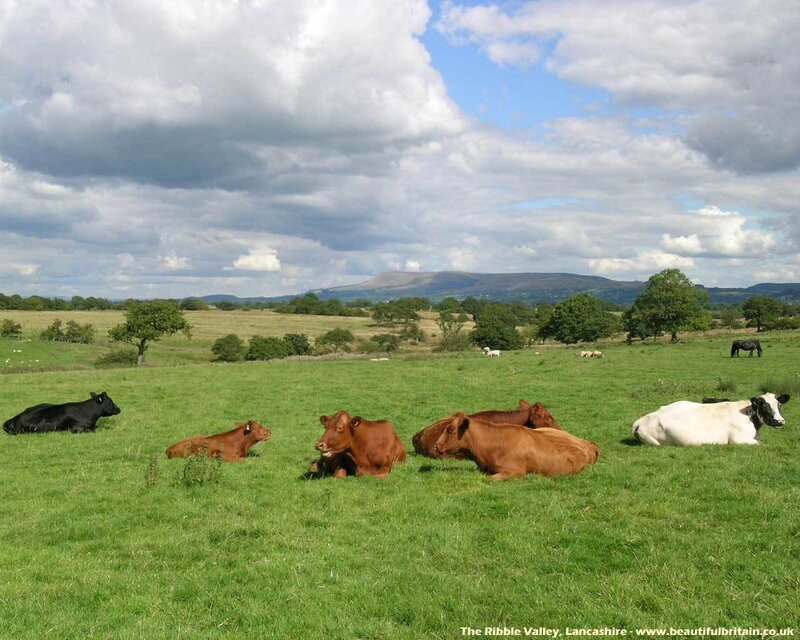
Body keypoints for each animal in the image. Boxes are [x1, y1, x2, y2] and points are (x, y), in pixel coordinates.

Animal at [632, 392, 790, 446]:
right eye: (764, 406)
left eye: (779, 405)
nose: (780, 421)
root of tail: (640, 421)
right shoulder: (738, 440)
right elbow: (762, 443)